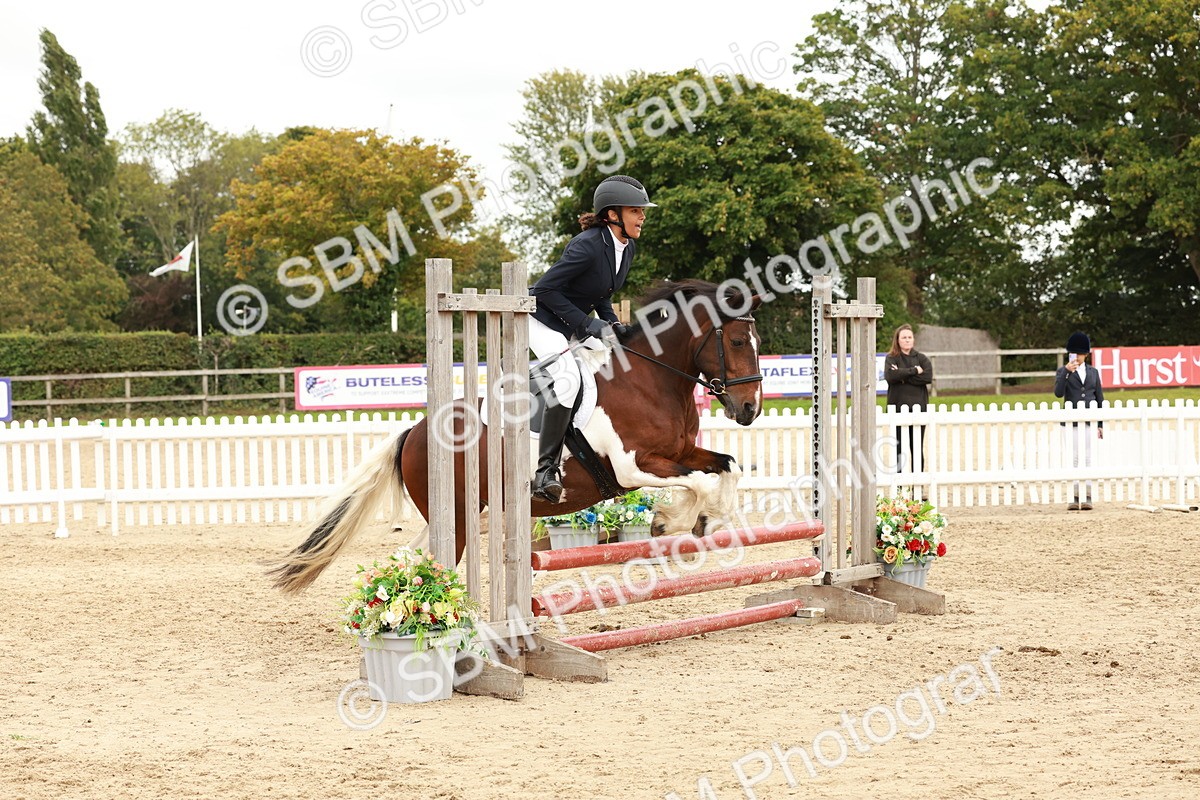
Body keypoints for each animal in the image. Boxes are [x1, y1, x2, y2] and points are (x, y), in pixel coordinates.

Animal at [270, 280, 765, 594]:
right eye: (738, 342)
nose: (749, 409)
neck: (653, 379)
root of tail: (413, 431)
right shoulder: (633, 468)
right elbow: (698, 483)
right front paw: (672, 521)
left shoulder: (681, 451)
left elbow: (727, 468)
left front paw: (705, 521)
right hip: (459, 515)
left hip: (456, 514)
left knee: (413, 557)